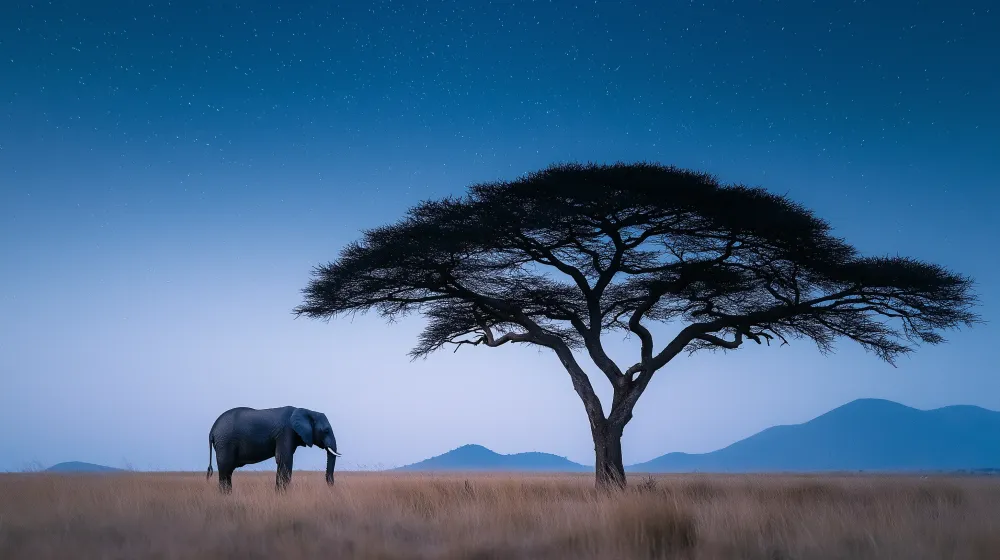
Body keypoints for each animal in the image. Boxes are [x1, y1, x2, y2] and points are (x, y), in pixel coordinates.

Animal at [206, 406, 341, 493]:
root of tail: (212, 430)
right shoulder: (286, 432)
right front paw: (282, 496)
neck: (307, 411)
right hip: (225, 442)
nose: (330, 487)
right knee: (226, 469)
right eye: (326, 431)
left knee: (227, 472)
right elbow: (284, 460)